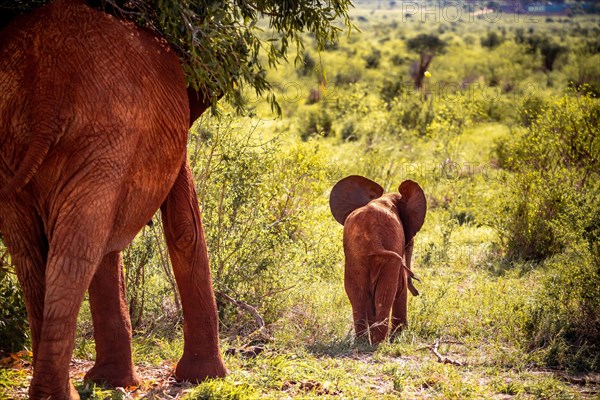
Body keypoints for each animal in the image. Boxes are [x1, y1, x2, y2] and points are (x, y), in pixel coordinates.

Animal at [0, 1, 225, 398]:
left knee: (37, 254)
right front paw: (204, 379)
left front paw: (110, 383)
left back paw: (53, 393)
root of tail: (46, 86)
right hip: (103, 132)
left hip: (35, 134)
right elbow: (183, 226)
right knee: (72, 250)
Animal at [330, 175, 424, 344]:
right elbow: (400, 286)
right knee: (386, 293)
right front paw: (399, 335)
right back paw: (379, 342)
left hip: (355, 257)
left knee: (357, 294)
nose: (418, 292)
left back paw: (363, 342)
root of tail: (374, 240)